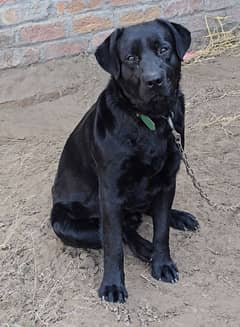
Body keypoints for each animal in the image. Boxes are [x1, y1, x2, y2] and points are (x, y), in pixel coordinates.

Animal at [50, 19, 199, 304]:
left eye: (163, 49)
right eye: (131, 58)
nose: (154, 80)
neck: (150, 121)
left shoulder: (167, 180)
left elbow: (161, 230)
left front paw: (162, 264)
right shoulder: (110, 191)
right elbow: (113, 243)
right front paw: (112, 285)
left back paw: (178, 219)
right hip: (65, 223)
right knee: (124, 231)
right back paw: (143, 247)